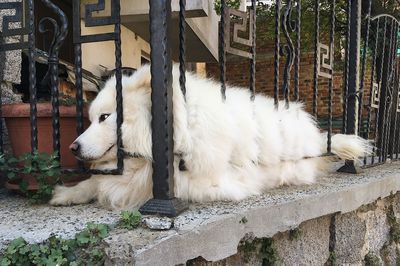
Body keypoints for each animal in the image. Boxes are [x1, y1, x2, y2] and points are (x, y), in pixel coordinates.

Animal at [50, 65, 372, 210]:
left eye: (105, 117)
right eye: (92, 118)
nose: (73, 147)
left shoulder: (204, 182)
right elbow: (95, 182)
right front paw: (66, 193)